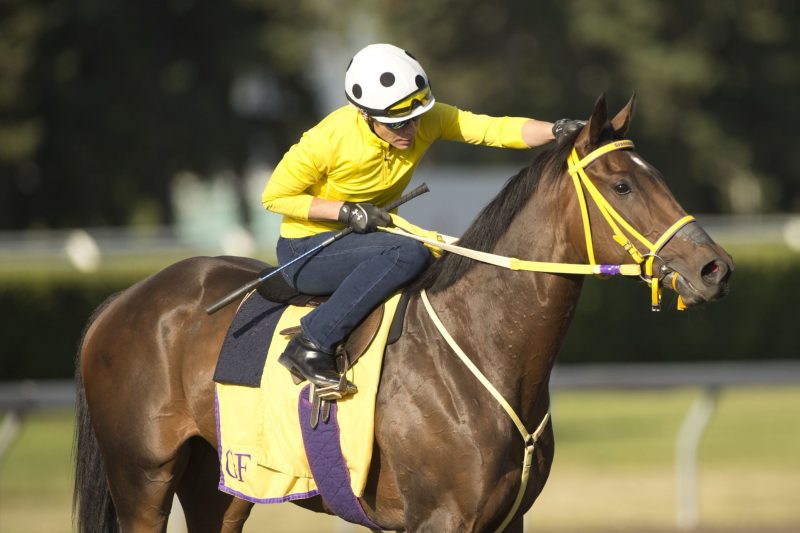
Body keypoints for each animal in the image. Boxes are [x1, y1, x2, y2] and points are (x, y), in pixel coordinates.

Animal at [73, 93, 732, 528]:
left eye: (658, 176)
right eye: (623, 186)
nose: (714, 268)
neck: (481, 349)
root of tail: (120, 301)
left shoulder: (505, 520)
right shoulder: (439, 520)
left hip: (228, 483)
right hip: (143, 478)